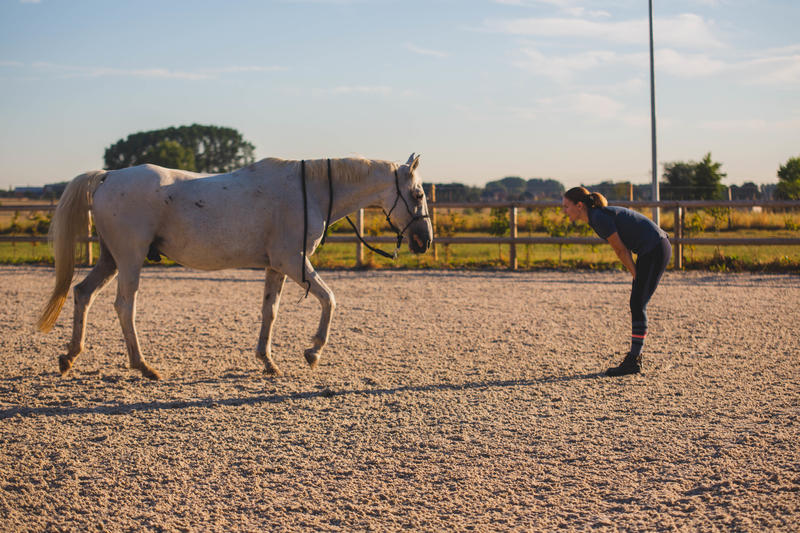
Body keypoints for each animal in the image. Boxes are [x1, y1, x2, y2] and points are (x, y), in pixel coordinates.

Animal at [36, 154, 434, 378]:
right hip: (130, 260)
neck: (310, 191)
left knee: (82, 294)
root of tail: (109, 176)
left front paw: (268, 361)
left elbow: (270, 312)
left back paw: (70, 357)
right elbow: (329, 300)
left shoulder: (278, 267)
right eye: (417, 194)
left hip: (110, 259)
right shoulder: (294, 261)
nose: (425, 241)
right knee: (124, 306)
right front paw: (313, 352)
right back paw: (143, 366)